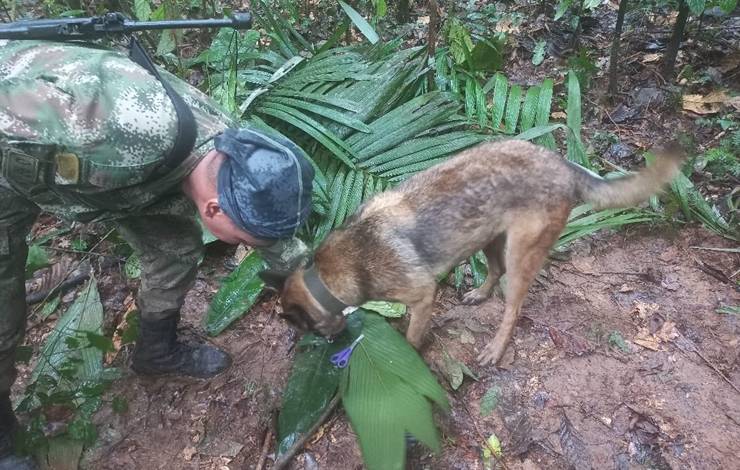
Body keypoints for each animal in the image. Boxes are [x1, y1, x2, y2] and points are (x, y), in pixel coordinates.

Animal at [258, 138, 684, 366]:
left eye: (305, 328)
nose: (330, 345)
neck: (329, 273)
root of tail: (564, 165)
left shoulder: (422, 295)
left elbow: (412, 336)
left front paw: (408, 355)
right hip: (489, 238)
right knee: (493, 272)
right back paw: (479, 294)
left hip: (520, 254)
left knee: (513, 307)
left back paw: (496, 347)